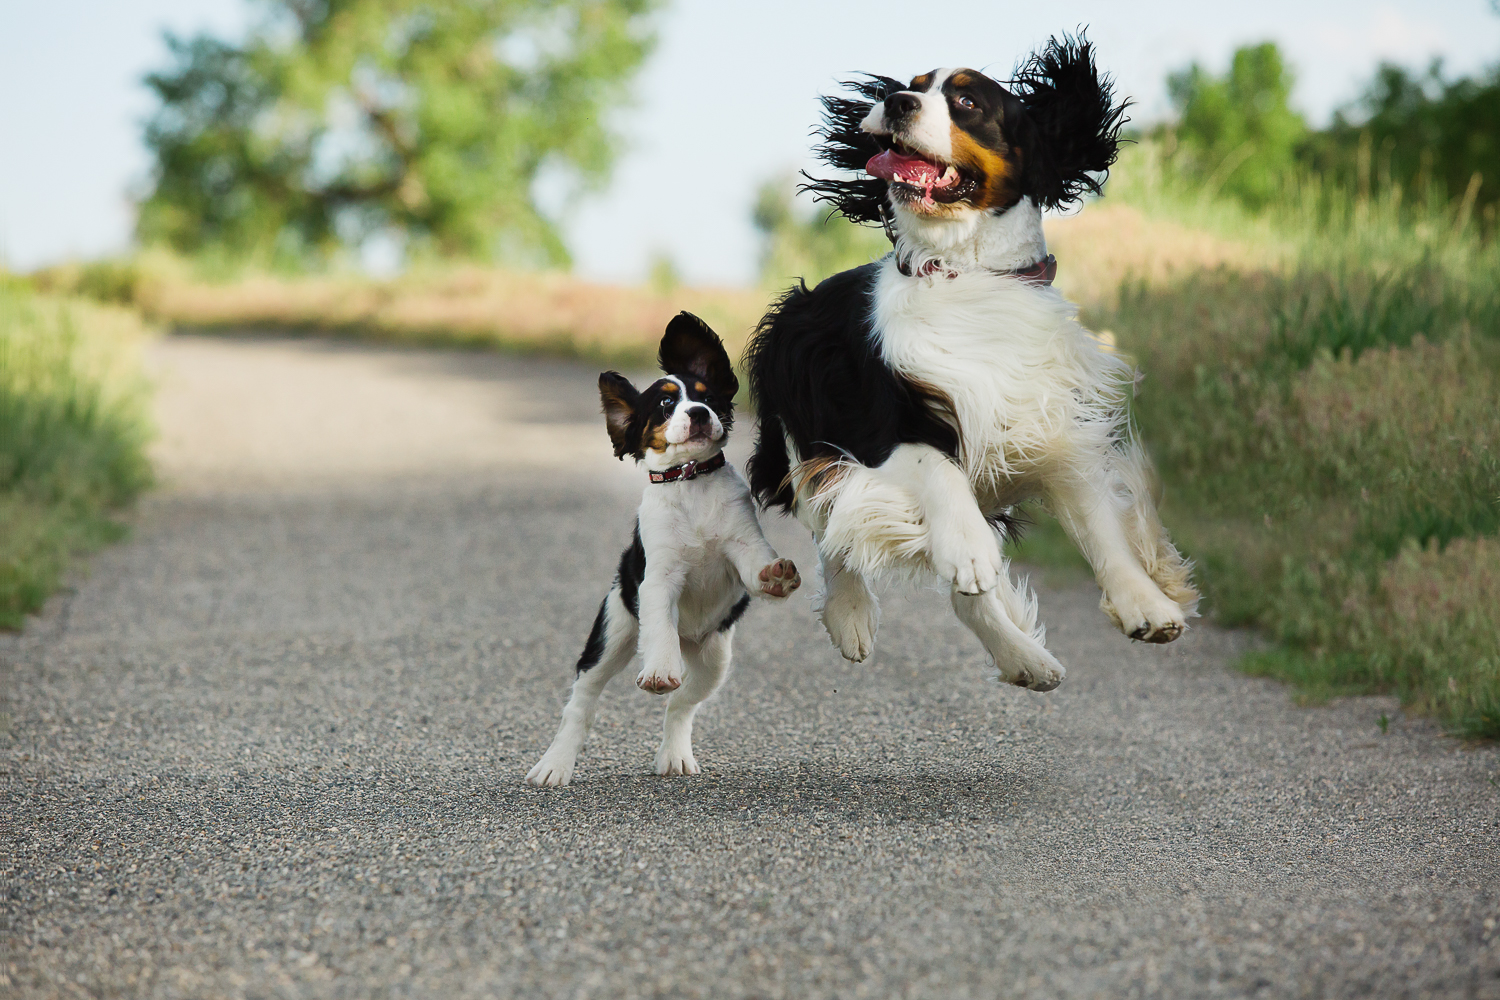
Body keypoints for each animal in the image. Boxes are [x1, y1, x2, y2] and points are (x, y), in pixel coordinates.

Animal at [525, 314, 798, 791]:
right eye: (667, 404)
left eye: (707, 397)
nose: (699, 413)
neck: (691, 481)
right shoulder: (658, 579)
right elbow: (659, 630)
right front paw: (658, 671)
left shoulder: (743, 546)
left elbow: (756, 567)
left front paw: (777, 575)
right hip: (613, 631)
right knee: (582, 701)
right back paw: (554, 765)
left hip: (714, 659)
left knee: (682, 703)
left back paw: (674, 755)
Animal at [747, 35, 1194, 692]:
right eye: (909, 87)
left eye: (965, 101)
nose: (896, 102)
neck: (967, 272)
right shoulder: (881, 427)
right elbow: (936, 469)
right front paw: (970, 549)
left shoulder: (1050, 428)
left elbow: (1102, 527)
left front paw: (1147, 606)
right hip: (800, 425)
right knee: (832, 525)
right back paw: (852, 616)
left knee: (957, 593)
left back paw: (1026, 660)